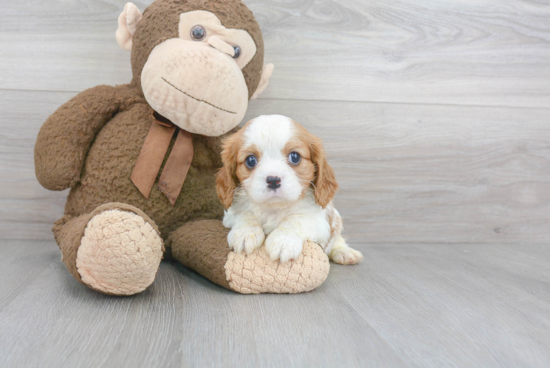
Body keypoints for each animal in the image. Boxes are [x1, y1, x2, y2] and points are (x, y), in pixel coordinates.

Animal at [218, 115, 364, 264]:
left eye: (295, 157)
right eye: (250, 160)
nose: (273, 180)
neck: (274, 208)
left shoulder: (320, 222)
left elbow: (295, 219)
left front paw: (283, 241)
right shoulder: (229, 216)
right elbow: (245, 213)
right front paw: (245, 233)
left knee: (336, 240)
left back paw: (344, 252)